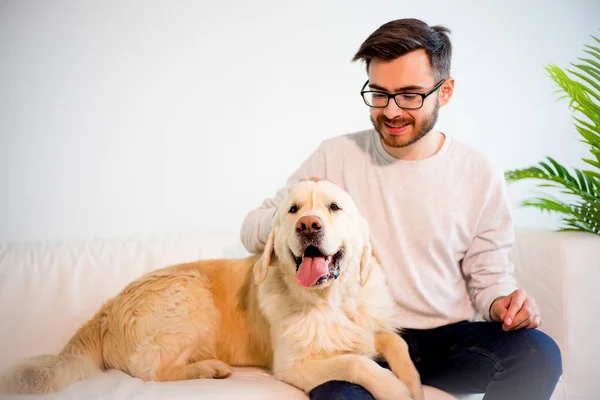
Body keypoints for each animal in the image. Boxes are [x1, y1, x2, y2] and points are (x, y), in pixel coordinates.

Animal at [0, 180, 422, 400]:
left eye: (334, 207)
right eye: (293, 210)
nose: (308, 225)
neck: (331, 300)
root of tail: (105, 310)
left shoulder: (369, 327)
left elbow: (394, 342)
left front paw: (414, 383)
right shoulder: (294, 365)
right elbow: (356, 362)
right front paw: (395, 389)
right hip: (191, 293)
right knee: (152, 373)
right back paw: (210, 368)